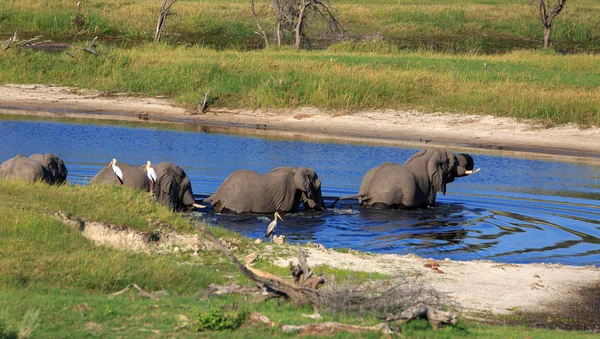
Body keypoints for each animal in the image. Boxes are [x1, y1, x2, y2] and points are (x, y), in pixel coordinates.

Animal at [346, 149, 478, 210]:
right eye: (455, 160)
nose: (468, 155)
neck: (428, 157)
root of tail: (367, 190)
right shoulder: (429, 188)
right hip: (385, 197)